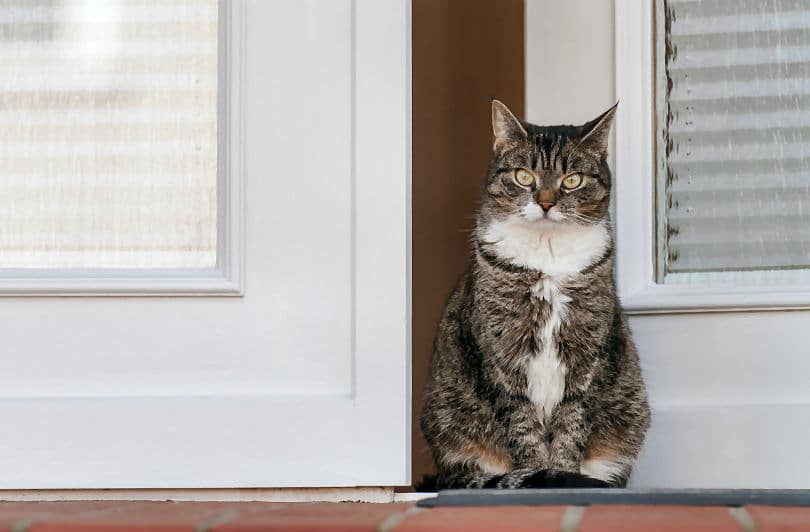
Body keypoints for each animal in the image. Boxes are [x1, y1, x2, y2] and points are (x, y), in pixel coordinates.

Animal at [420, 100, 648, 490]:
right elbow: (523, 426)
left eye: (572, 179)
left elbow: (572, 424)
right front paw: (539, 474)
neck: (548, 256)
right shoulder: (501, 357)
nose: (546, 202)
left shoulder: (587, 356)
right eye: (524, 176)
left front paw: (563, 473)